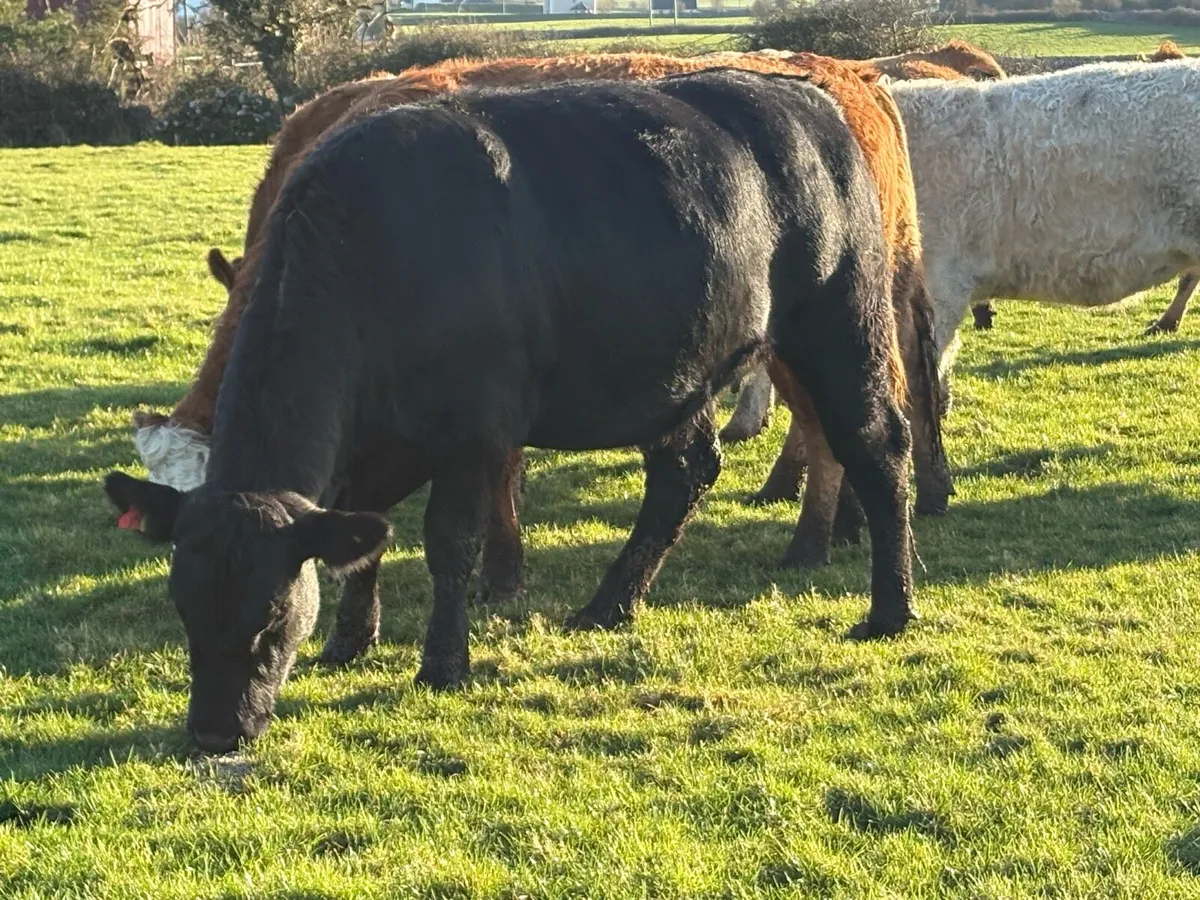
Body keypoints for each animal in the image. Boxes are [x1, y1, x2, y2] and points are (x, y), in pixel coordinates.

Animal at [106, 70, 915, 751]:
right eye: (184, 607)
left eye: (272, 621)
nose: (215, 732)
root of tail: (805, 92)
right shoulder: (372, 449)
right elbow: (363, 540)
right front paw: (350, 640)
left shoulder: (473, 432)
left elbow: (449, 543)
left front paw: (442, 664)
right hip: (679, 367)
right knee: (684, 471)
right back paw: (609, 605)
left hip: (842, 326)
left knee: (878, 447)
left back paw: (890, 612)